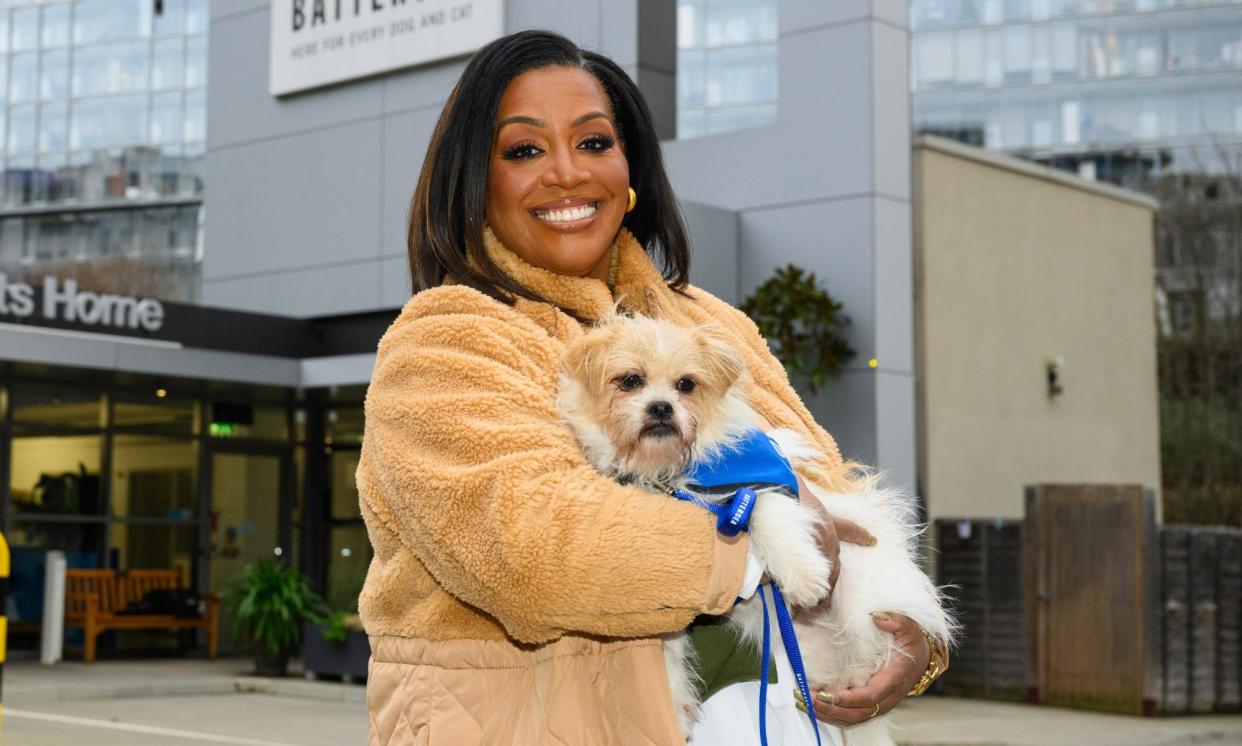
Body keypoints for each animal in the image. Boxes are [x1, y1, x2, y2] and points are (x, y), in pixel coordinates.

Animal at [558, 314, 953, 744]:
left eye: (686, 385)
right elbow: (667, 643)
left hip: (858, 604)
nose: (661, 407)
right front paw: (675, 703)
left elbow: (770, 519)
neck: (668, 472)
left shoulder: (763, 487)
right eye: (631, 380)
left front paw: (804, 577)